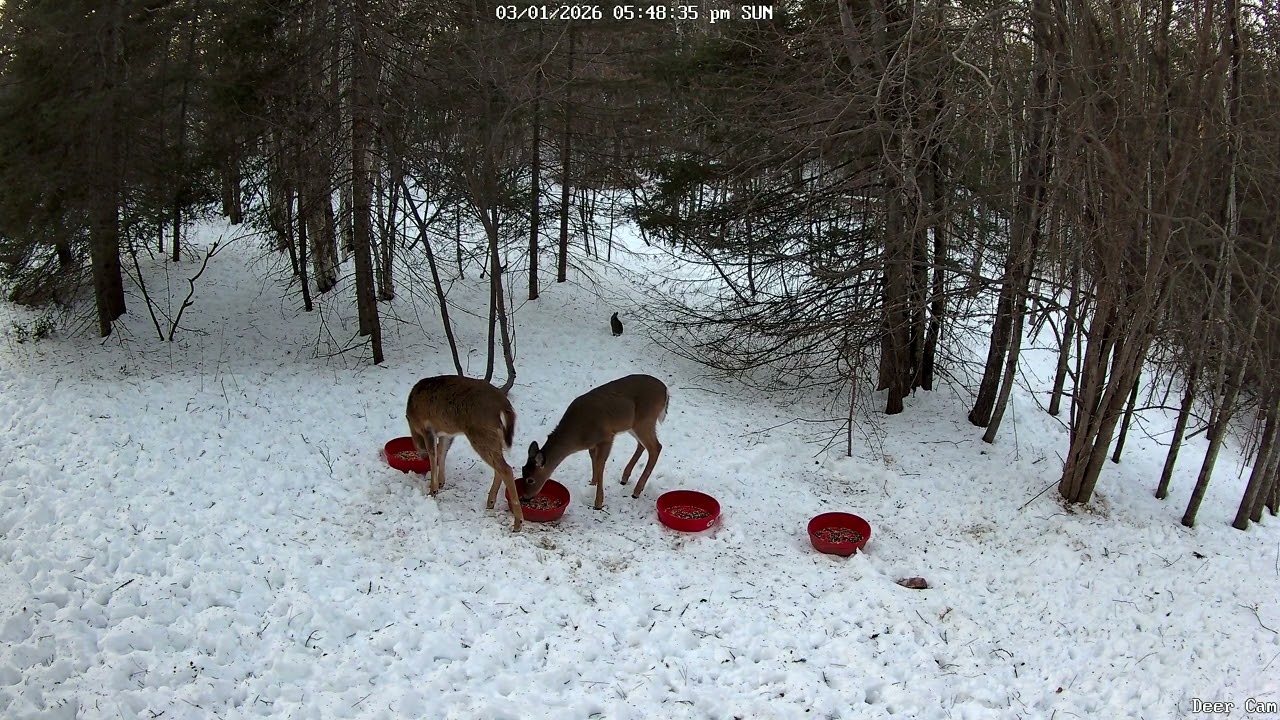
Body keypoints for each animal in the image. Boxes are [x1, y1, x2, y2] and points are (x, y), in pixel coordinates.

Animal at [405, 375, 524, 531]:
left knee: (506, 468)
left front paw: (432, 490)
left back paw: (517, 523)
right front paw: (441, 482)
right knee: (500, 466)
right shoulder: (445, 433)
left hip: (481, 433)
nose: (420, 455)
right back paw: (490, 502)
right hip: (494, 437)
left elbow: (433, 454)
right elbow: (442, 452)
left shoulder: (427, 429)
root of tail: (503, 405)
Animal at [518, 374, 668, 511]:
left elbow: (601, 464)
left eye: (530, 480)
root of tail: (666, 391)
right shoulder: (593, 443)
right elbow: (593, 458)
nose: (525, 497)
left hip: (645, 420)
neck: (577, 435)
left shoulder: (606, 437)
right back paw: (625, 478)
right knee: (642, 445)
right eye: (523, 471)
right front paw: (592, 483)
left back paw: (636, 491)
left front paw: (598, 503)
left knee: (656, 447)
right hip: (632, 425)